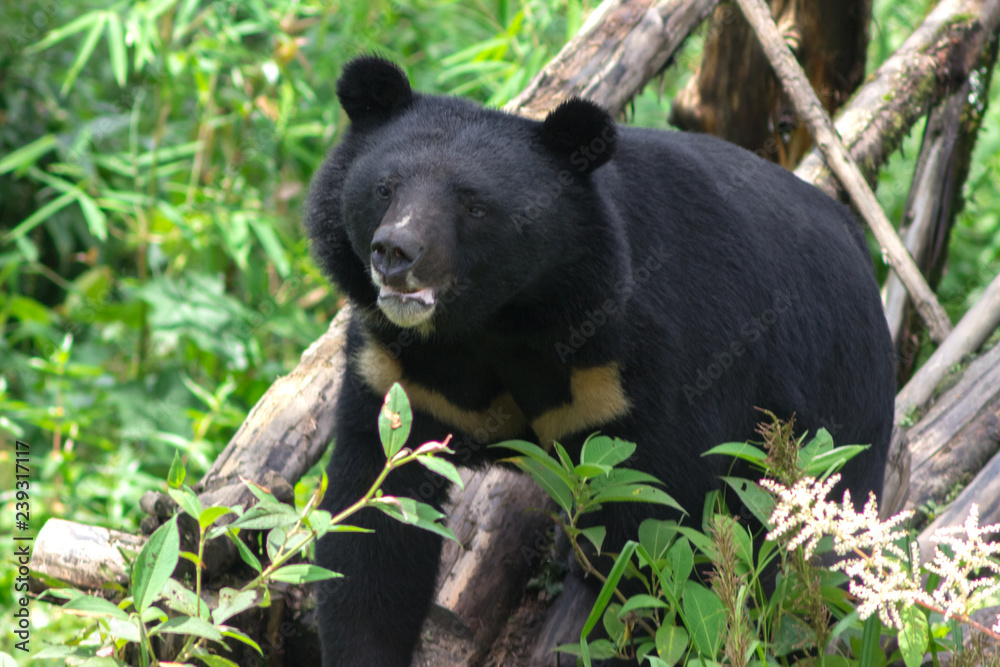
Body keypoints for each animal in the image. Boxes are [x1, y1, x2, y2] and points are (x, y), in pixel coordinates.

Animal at [305, 55, 895, 666]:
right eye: (384, 188)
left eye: (474, 205)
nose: (395, 253)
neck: (493, 322)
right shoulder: (398, 369)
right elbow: (374, 525)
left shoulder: (643, 371)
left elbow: (664, 537)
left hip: (839, 414)